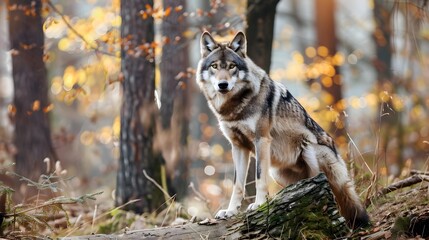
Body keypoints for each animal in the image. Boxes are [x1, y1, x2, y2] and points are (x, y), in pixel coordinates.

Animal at [196, 31, 370, 228]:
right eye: (215, 66)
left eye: (232, 66)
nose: (223, 85)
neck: (234, 107)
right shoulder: (238, 146)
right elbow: (237, 185)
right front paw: (230, 211)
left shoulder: (262, 140)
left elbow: (259, 178)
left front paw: (259, 205)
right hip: (277, 173)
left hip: (309, 149)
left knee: (323, 184)